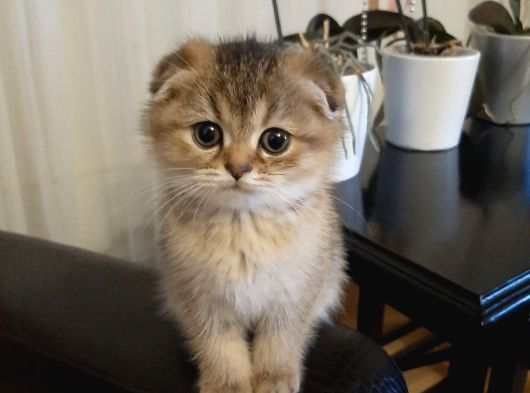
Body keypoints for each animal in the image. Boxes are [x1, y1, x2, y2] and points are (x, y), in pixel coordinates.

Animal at [144, 37, 346, 392]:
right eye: (207, 134)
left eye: (275, 140)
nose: (238, 169)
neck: (243, 229)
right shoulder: (202, 301)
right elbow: (218, 347)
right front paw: (227, 383)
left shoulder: (291, 298)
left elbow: (281, 341)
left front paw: (274, 377)